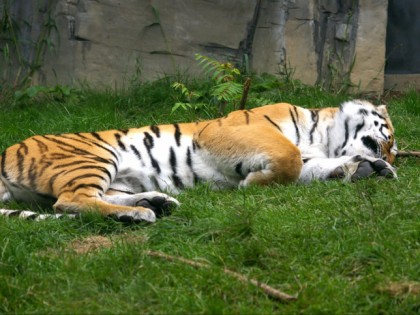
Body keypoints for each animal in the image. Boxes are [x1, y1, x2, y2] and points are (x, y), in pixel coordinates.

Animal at [0, 100, 398, 222]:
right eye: (392, 138)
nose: (392, 155)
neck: (324, 137)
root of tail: (6, 150)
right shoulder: (230, 130)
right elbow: (288, 158)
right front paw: (251, 183)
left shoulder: (311, 156)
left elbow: (308, 168)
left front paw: (369, 169)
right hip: (94, 156)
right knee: (71, 200)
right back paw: (141, 213)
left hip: (114, 176)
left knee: (87, 198)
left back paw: (155, 204)